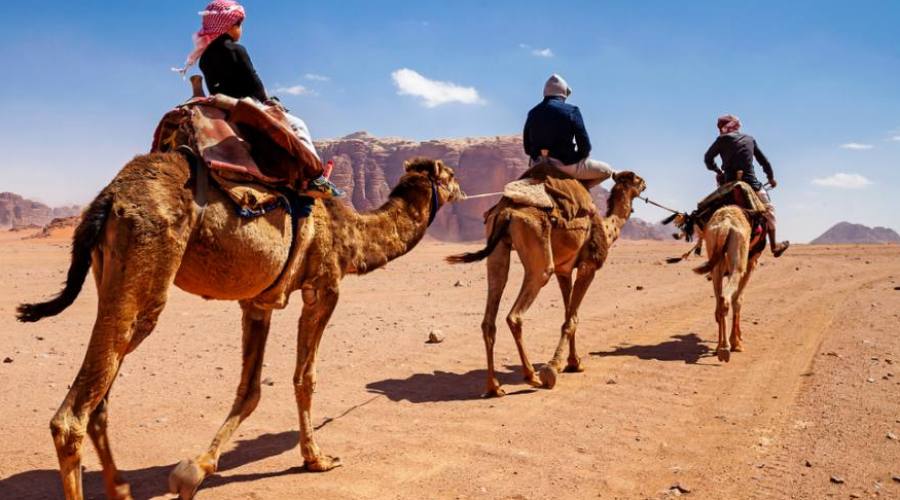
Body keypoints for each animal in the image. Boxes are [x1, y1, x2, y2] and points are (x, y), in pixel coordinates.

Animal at [14, 153, 464, 500]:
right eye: (451, 176)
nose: (463, 193)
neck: (352, 232)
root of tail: (108, 196)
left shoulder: (258, 302)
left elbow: (250, 391)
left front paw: (198, 467)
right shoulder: (323, 287)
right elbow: (305, 378)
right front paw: (317, 458)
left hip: (107, 273)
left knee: (100, 404)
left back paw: (121, 488)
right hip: (145, 269)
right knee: (72, 416)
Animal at [446, 170, 644, 396]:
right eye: (638, 180)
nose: (645, 184)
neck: (607, 228)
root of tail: (506, 211)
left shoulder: (564, 271)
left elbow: (570, 314)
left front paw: (574, 363)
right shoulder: (588, 266)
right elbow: (571, 319)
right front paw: (553, 368)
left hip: (497, 247)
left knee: (491, 311)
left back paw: (494, 386)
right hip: (537, 245)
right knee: (516, 314)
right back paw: (531, 376)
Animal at [692, 204, 764, 364]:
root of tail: (725, 225)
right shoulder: (750, 264)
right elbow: (738, 300)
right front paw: (737, 343)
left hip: (715, 257)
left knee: (719, 301)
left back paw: (720, 347)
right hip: (738, 262)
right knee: (726, 298)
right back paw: (725, 349)